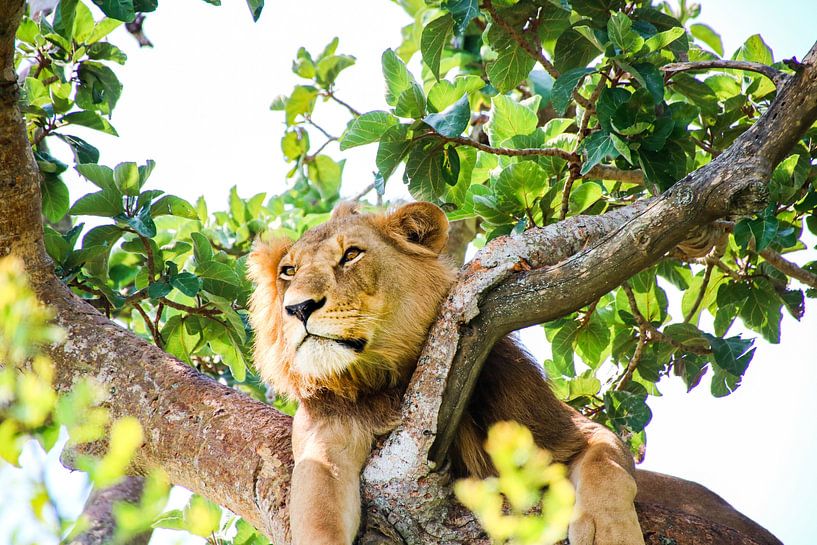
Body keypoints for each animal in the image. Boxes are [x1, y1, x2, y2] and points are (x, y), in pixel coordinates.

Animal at [248, 201, 644, 545]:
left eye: (351, 254)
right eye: (288, 272)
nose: (298, 308)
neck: (387, 378)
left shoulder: (565, 430)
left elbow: (606, 465)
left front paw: (613, 535)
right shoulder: (323, 447)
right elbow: (318, 517)